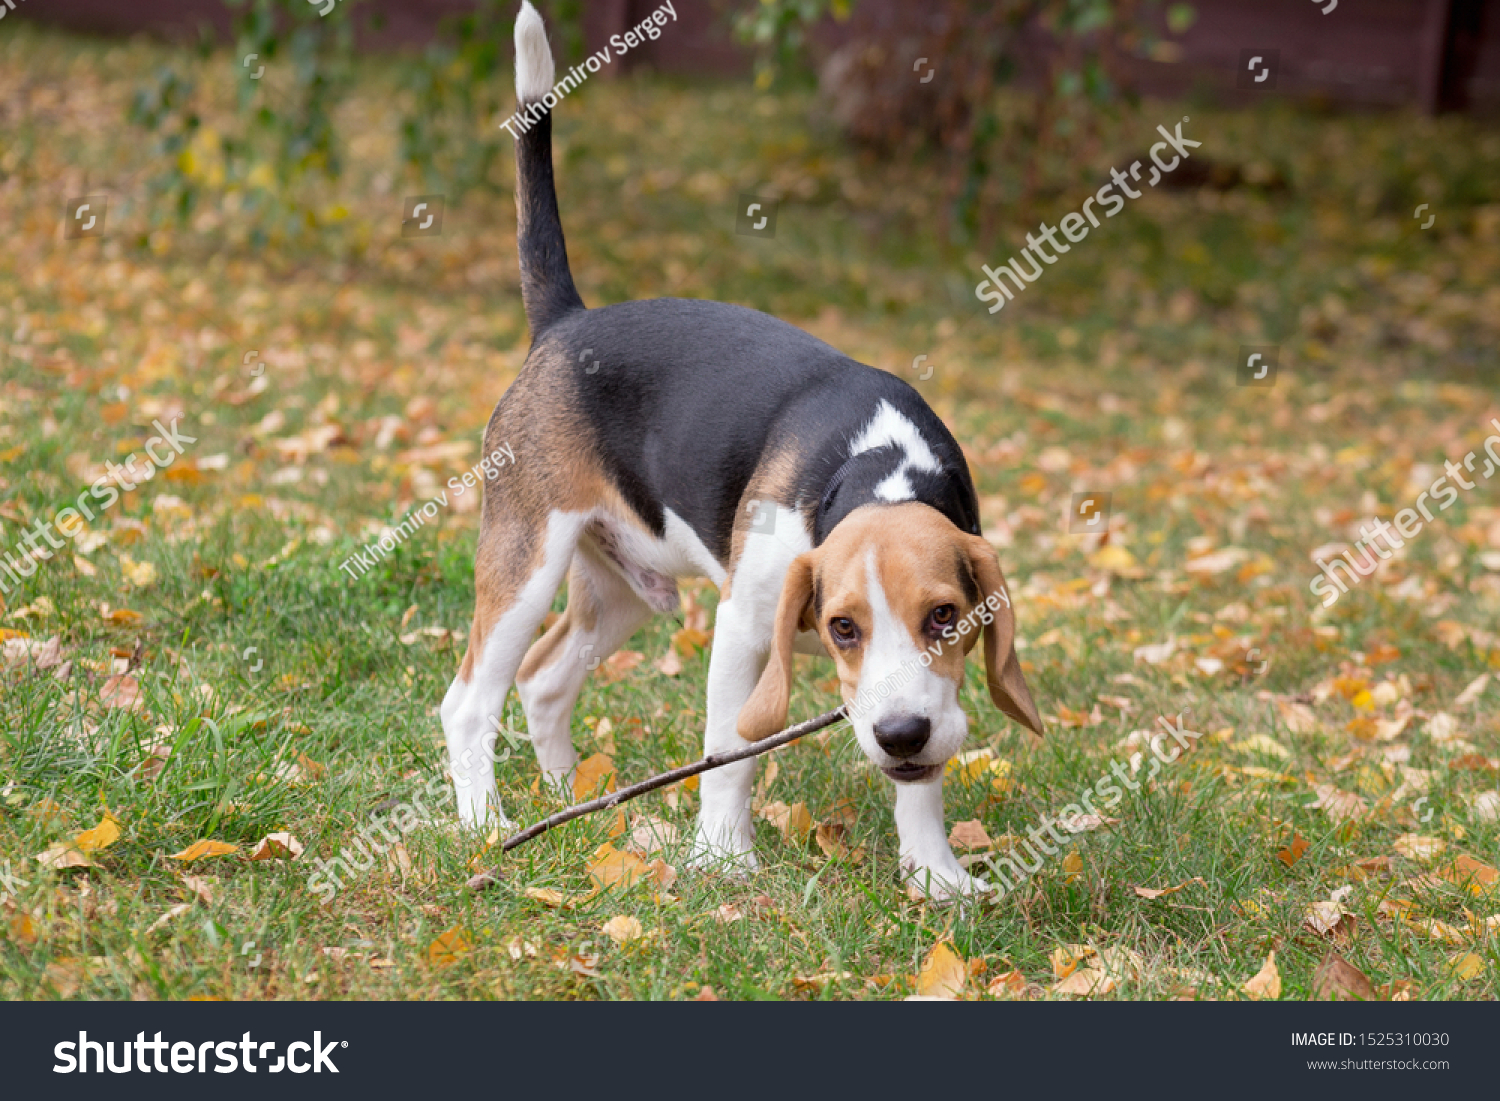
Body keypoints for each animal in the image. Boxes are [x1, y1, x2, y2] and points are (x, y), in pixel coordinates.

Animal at [438, 0, 1038, 900]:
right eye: (842, 627)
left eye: (945, 614)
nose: (898, 733)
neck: (874, 472)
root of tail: (567, 323)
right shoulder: (745, 623)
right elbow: (731, 749)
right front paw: (722, 856)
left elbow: (922, 781)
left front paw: (934, 871)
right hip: (526, 558)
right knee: (471, 700)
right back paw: (486, 821)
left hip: (620, 586)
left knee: (544, 682)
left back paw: (576, 802)